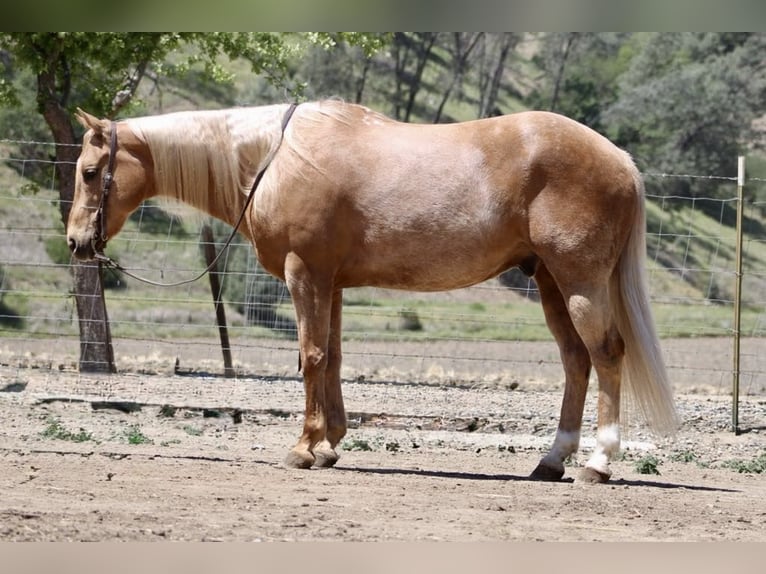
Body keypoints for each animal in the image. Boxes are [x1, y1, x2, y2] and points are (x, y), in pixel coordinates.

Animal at [67, 100, 678, 483]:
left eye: (91, 171)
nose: (76, 241)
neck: (272, 158)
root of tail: (620, 160)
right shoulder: (331, 282)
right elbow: (332, 357)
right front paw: (329, 444)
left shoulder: (305, 274)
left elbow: (311, 356)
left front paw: (303, 447)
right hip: (551, 282)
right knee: (577, 361)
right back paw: (552, 461)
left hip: (580, 282)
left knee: (607, 354)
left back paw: (597, 462)